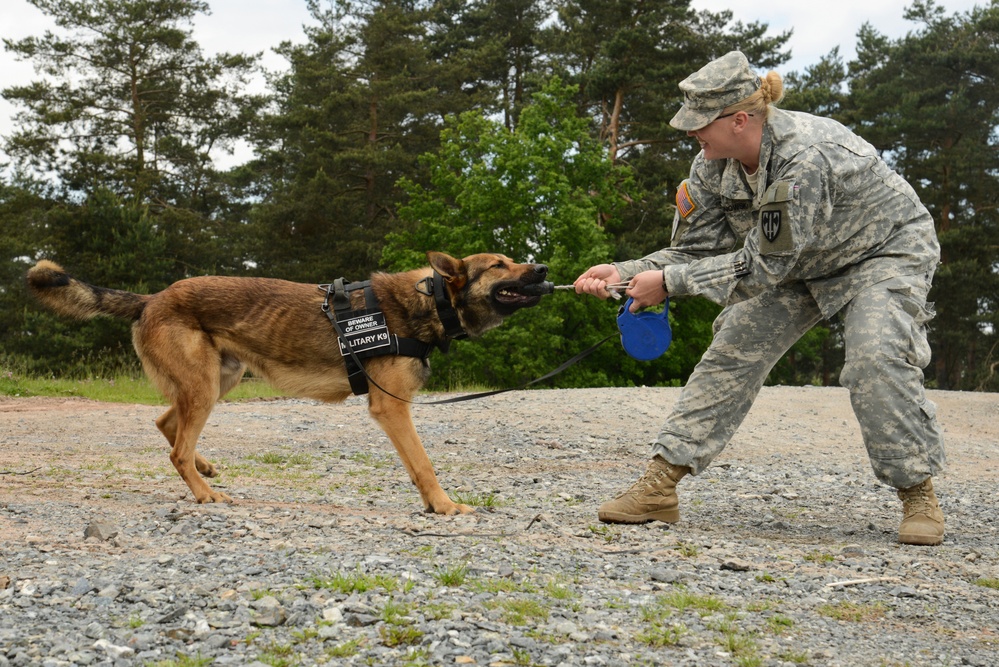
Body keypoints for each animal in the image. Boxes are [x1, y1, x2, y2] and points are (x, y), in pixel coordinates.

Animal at [23, 253, 552, 516]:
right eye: (500, 265)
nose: (545, 269)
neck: (431, 299)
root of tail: (152, 298)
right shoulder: (392, 408)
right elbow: (424, 464)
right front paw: (443, 506)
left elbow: (417, 465)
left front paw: (432, 505)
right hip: (206, 387)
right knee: (175, 446)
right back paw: (204, 493)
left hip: (219, 380)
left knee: (167, 424)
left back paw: (204, 468)